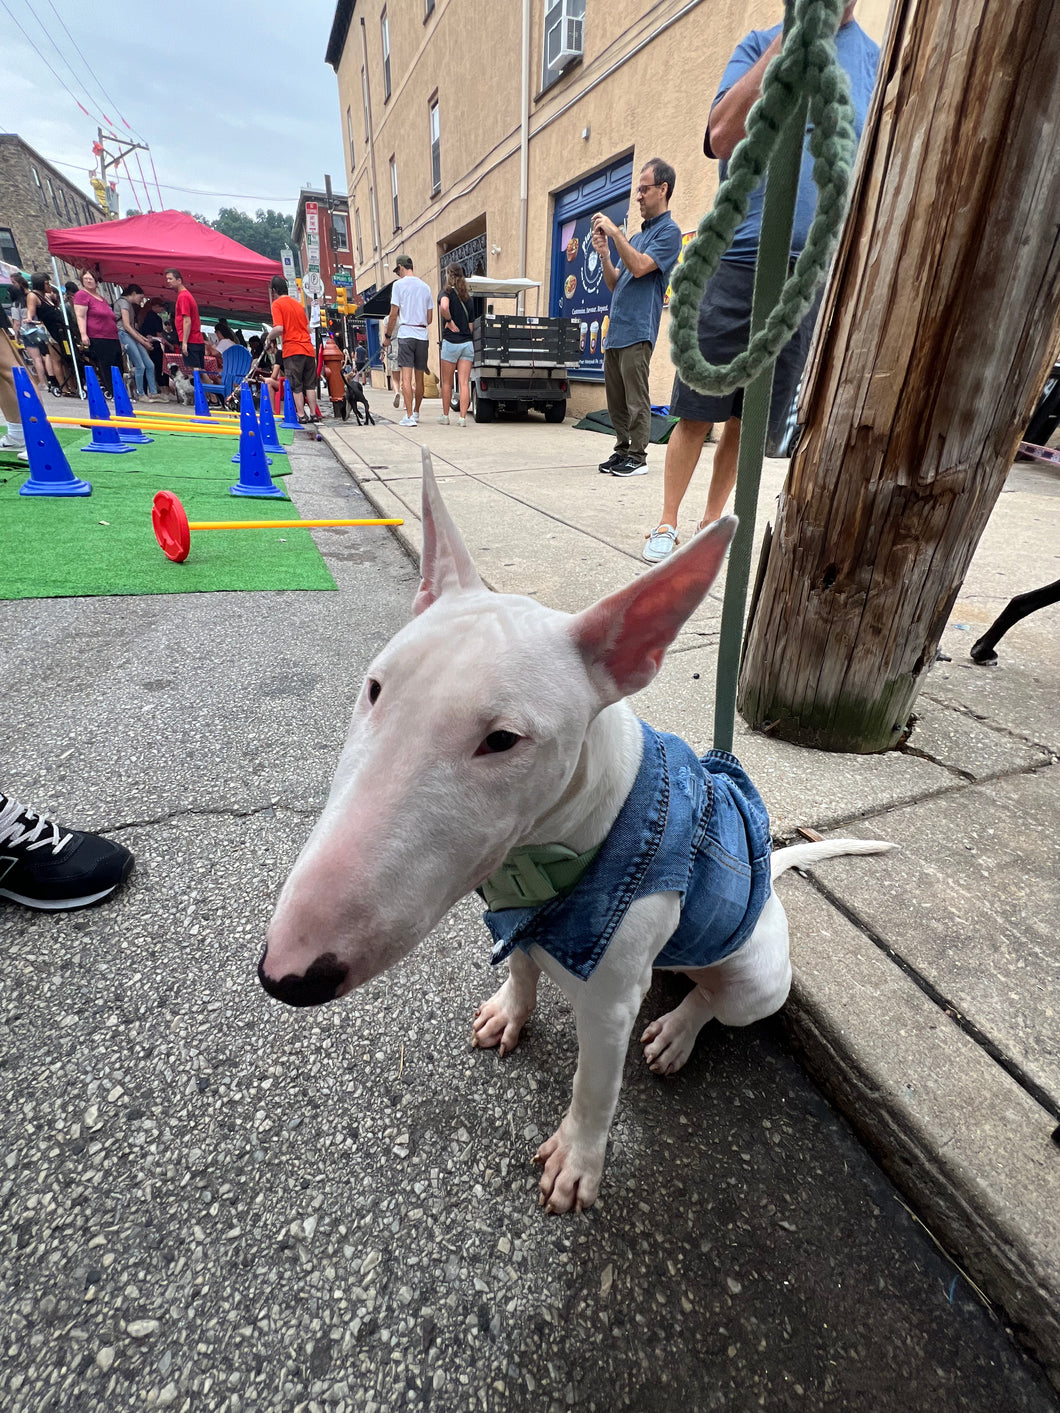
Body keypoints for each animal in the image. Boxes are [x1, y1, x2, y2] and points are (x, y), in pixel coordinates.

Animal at [260, 449, 898, 1215]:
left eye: (503, 740)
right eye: (376, 688)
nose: (288, 974)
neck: (543, 851)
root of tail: (768, 878)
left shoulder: (611, 1001)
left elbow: (595, 1085)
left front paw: (576, 1161)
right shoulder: (513, 914)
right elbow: (522, 964)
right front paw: (510, 1011)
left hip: (758, 977)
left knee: (717, 1000)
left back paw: (676, 1032)